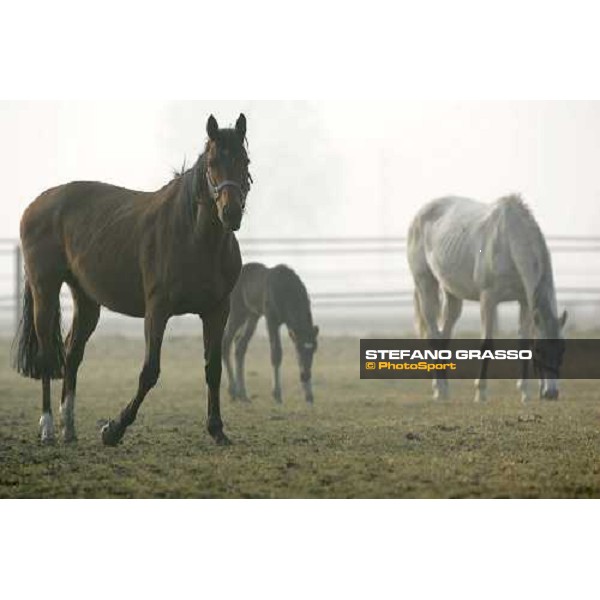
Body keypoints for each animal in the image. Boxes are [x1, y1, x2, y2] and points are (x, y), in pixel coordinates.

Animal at [12, 113, 251, 446]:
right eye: (213, 162)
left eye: (245, 160)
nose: (231, 213)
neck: (193, 236)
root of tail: (36, 205)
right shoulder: (157, 310)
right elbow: (149, 372)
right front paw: (113, 429)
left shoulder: (217, 311)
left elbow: (213, 367)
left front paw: (217, 429)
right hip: (44, 290)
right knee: (48, 354)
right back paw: (47, 427)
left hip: (86, 299)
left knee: (72, 354)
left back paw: (68, 427)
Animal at [223, 262, 318, 404]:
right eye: (298, 349)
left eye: (313, 351)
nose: (305, 375)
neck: (287, 291)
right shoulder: (271, 319)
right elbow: (276, 353)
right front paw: (277, 394)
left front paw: (309, 396)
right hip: (237, 311)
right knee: (226, 341)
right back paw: (232, 391)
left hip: (252, 315)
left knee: (240, 345)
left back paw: (243, 395)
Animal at [408, 196, 568, 404]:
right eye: (540, 350)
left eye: (562, 350)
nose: (551, 393)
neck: (509, 242)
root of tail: (418, 216)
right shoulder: (488, 299)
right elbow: (486, 345)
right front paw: (480, 392)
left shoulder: (525, 302)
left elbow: (523, 343)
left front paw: (525, 394)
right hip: (425, 284)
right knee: (434, 336)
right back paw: (439, 389)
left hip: (452, 294)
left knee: (444, 336)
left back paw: (444, 390)